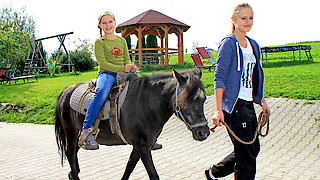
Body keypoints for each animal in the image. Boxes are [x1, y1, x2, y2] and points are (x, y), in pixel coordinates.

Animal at [55, 68, 210, 179]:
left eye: (203, 99)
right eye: (186, 100)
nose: (204, 133)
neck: (145, 103)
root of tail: (66, 92)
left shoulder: (140, 146)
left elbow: (128, 170)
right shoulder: (142, 146)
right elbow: (153, 175)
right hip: (71, 133)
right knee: (70, 154)